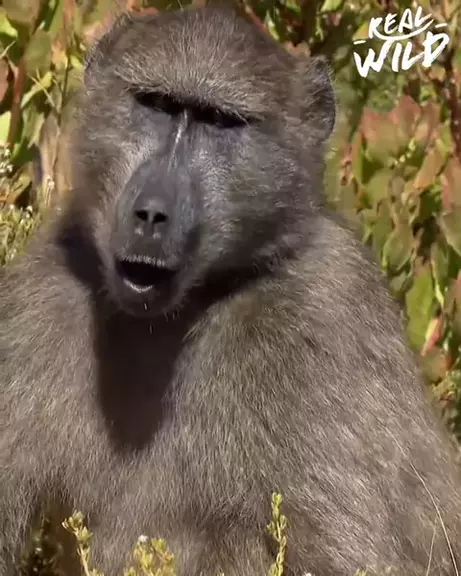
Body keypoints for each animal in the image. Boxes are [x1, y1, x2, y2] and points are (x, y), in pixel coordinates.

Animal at [1, 3, 461, 576]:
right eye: (156, 104)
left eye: (219, 121)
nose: (150, 215)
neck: (181, 311)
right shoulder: (53, 287)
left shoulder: (323, 315)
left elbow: (342, 552)